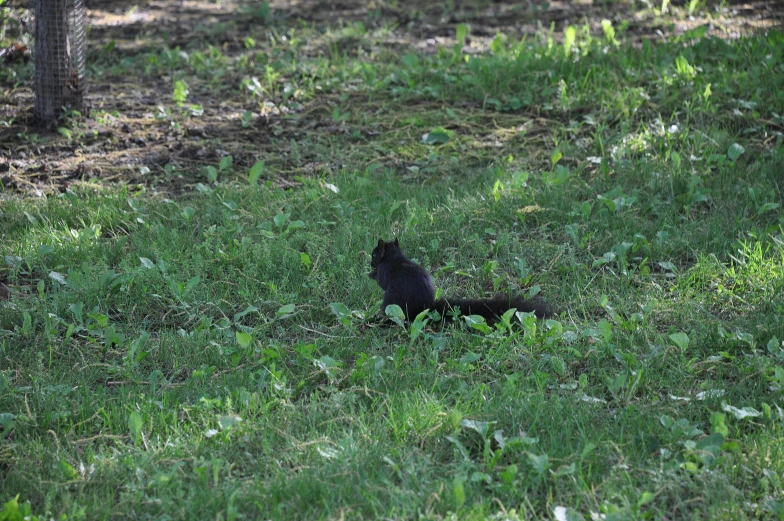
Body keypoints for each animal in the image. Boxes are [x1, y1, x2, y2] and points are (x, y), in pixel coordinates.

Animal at [368, 237, 552, 320]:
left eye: (374, 254)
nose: (370, 262)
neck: (395, 258)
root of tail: (425, 308)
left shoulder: (385, 272)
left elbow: (381, 282)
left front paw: (371, 274)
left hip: (392, 301)